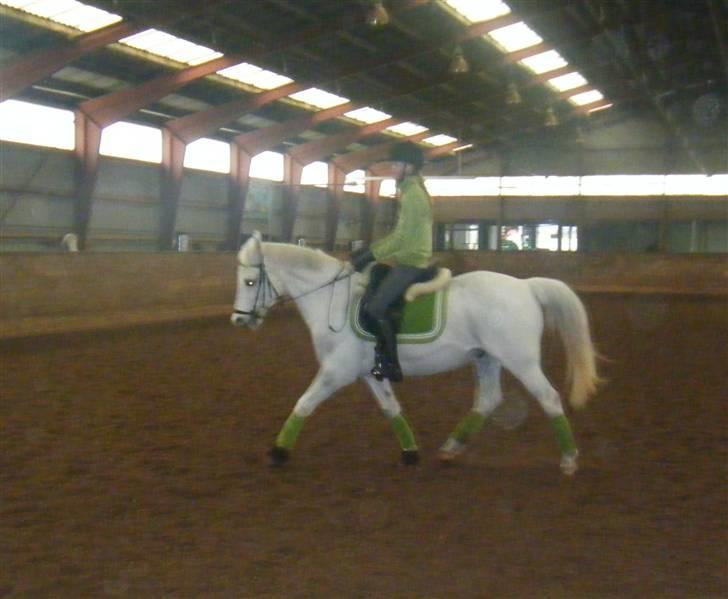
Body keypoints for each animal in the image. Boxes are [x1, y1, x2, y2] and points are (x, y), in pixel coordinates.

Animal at [233, 232, 604, 476]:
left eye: (250, 282)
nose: (239, 320)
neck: (332, 299)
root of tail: (526, 285)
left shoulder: (336, 371)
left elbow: (304, 404)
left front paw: (278, 451)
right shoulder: (368, 372)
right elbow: (391, 409)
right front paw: (410, 453)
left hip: (520, 361)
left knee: (548, 398)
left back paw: (569, 459)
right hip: (486, 358)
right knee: (487, 400)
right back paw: (450, 449)